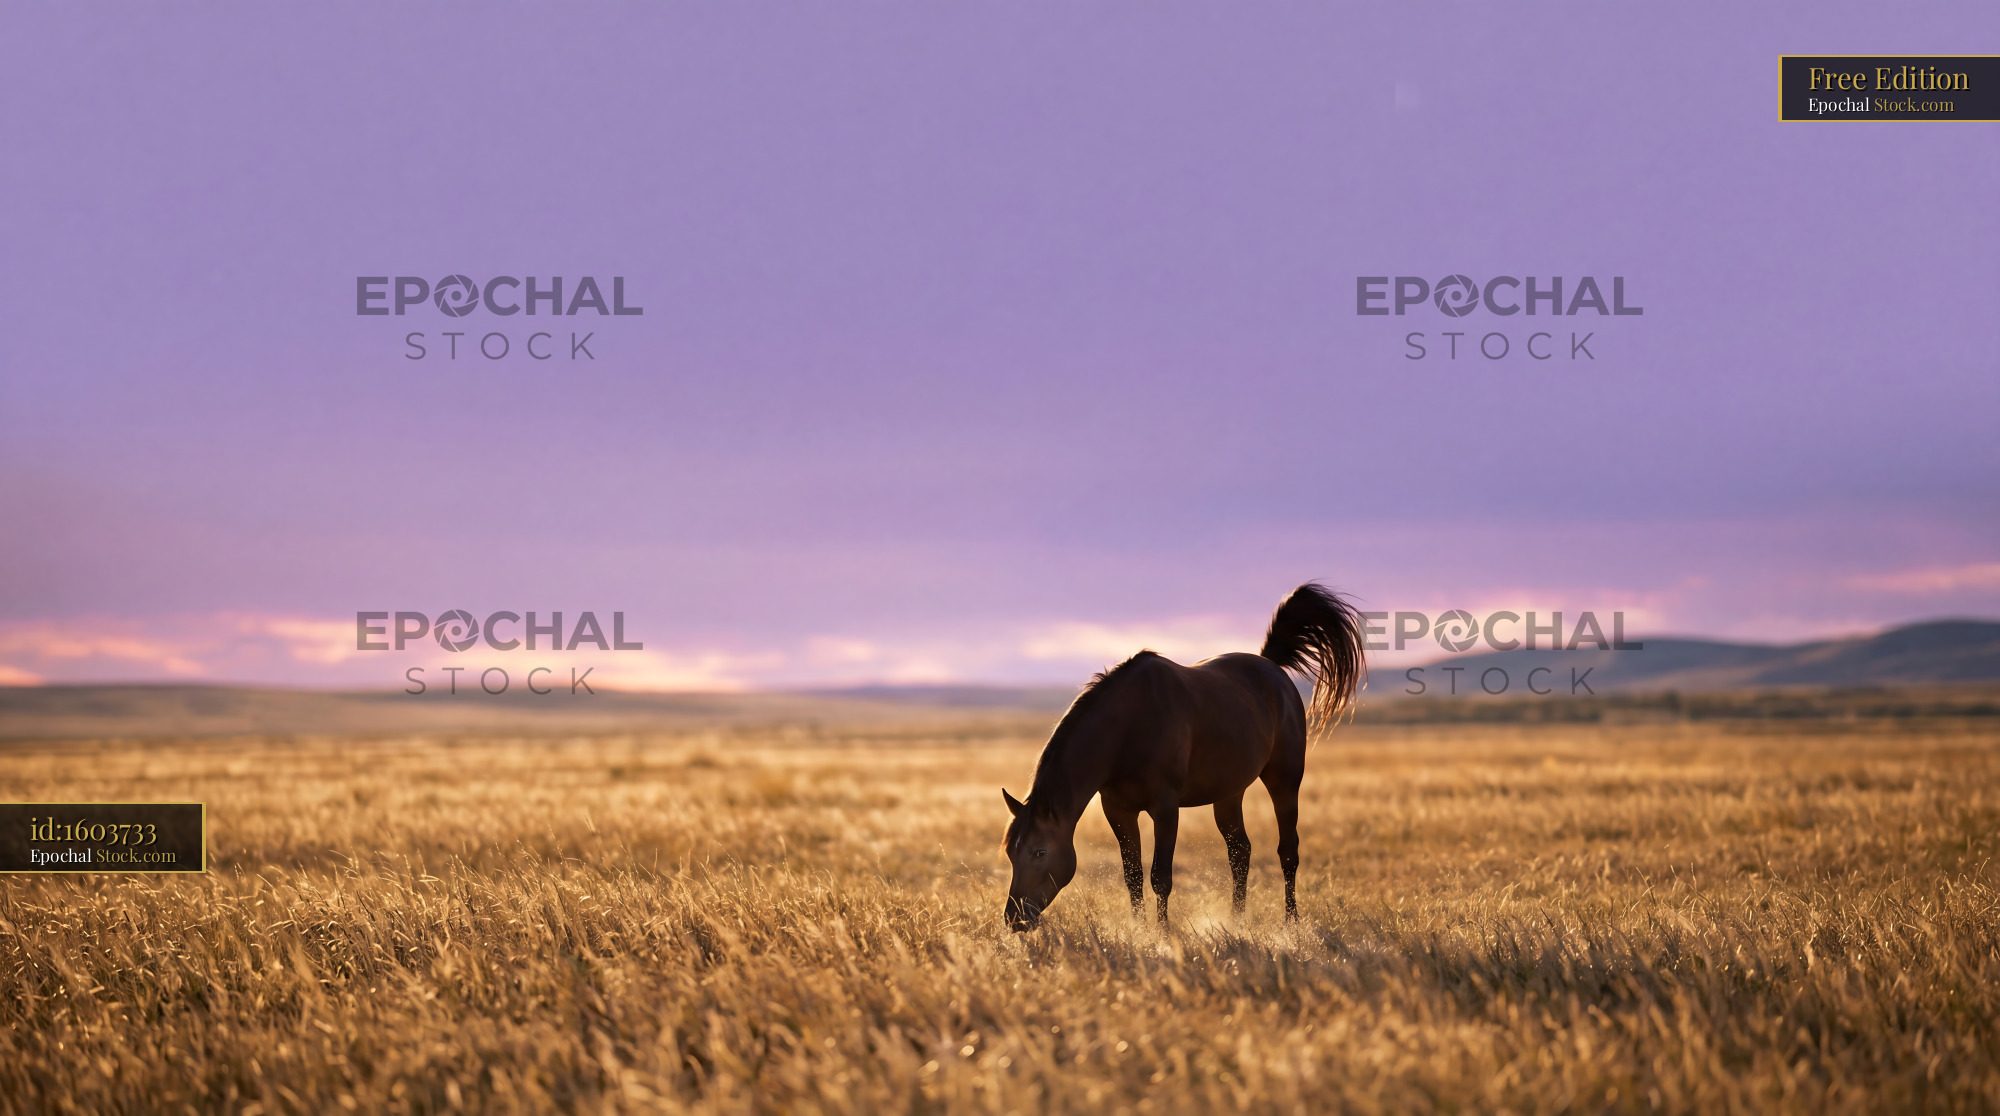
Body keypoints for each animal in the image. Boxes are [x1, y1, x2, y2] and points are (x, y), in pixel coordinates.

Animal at [1001, 584, 1366, 931]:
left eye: (1039, 851)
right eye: (1009, 851)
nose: (1014, 919)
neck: (1129, 728)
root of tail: (1272, 666)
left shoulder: (1165, 808)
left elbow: (1160, 877)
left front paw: (1163, 933)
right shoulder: (1117, 809)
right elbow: (1132, 876)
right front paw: (1140, 930)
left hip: (1285, 780)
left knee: (1288, 851)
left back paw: (1291, 922)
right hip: (1229, 793)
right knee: (1240, 852)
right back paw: (1237, 919)